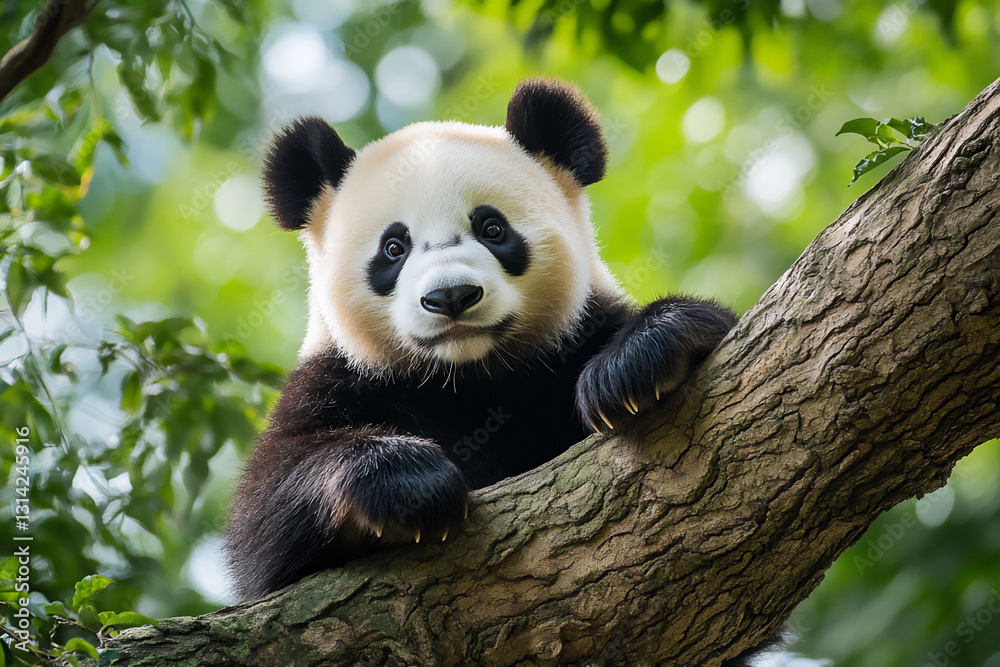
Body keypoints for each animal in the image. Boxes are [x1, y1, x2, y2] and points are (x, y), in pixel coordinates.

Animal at [225, 78, 737, 603]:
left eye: (492, 228)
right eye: (394, 247)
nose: (450, 296)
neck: (470, 375)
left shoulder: (574, 336)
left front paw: (631, 369)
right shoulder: (340, 377)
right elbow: (265, 519)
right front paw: (411, 484)